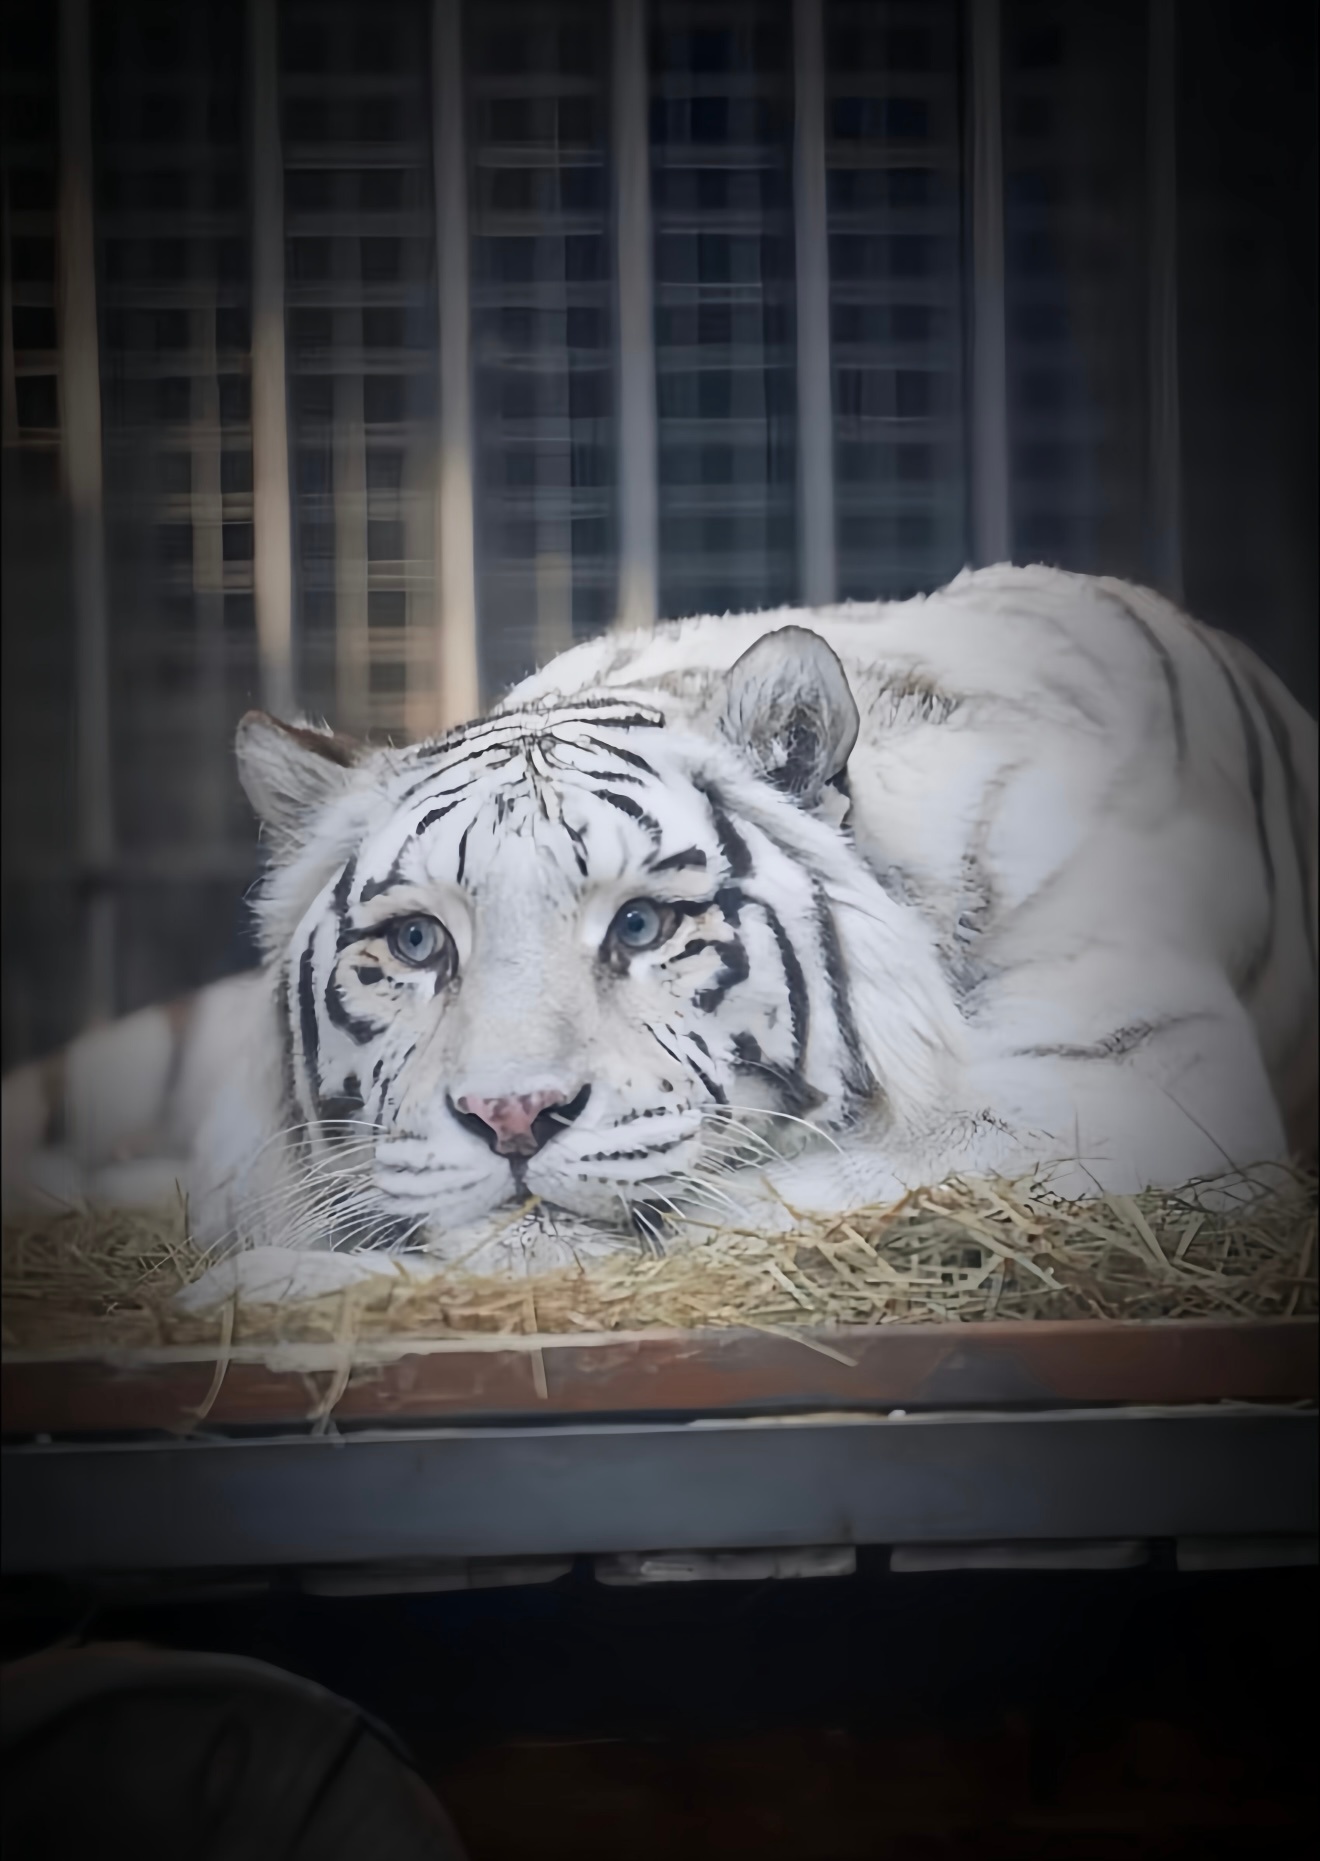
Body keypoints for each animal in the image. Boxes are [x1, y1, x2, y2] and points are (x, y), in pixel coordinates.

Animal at [2, 564, 1316, 1305]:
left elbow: (721, 1208)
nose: (511, 1117)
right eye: (419, 944)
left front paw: (265, 1290)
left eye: (640, 924)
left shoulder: (1128, 1080)